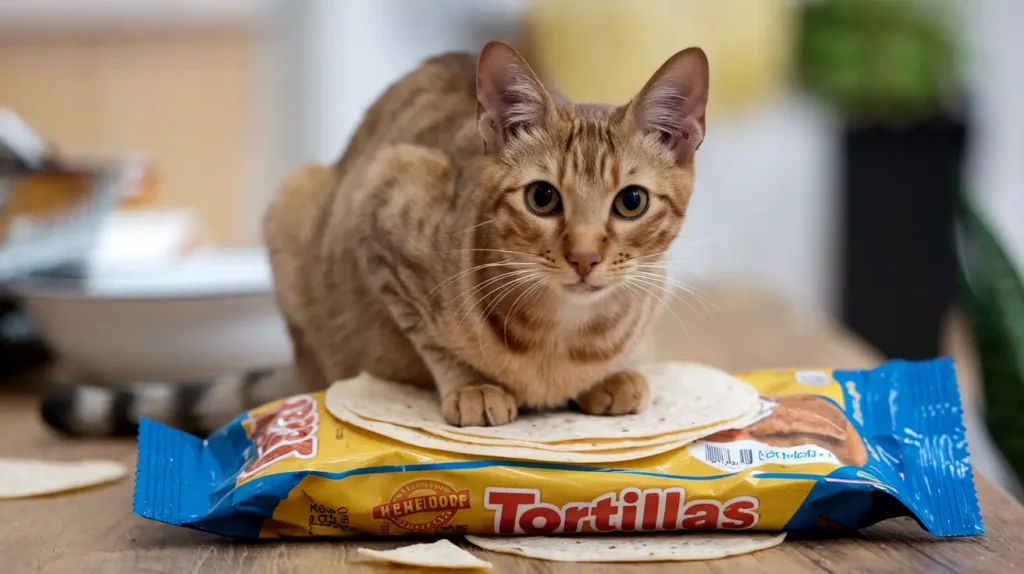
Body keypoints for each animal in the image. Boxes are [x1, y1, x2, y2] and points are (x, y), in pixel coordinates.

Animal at [41, 41, 712, 433]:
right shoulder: (383, 204)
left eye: (631, 202)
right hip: (296, 200)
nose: (584, 257)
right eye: (542, 197)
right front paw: (473, 385)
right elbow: (431, 338)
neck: (562, 338)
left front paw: (613, 375)